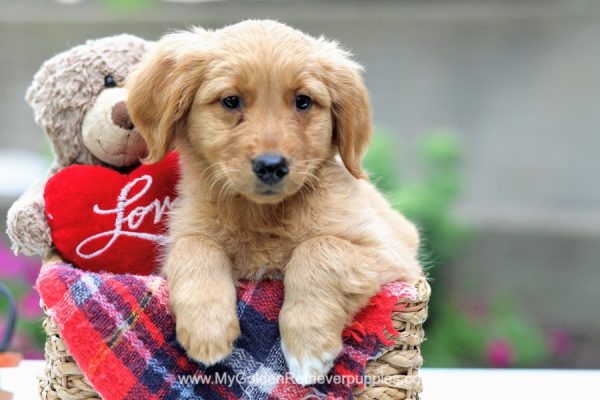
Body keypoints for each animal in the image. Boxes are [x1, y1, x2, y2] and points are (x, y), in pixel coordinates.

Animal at [127, 19, 422, 384]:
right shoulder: (184, 232)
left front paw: (308, 346)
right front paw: (207, 327)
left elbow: (318, 249)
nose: (271, 166)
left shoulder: (392, 254)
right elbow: (194, 246)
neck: (260, 214)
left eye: (303, 101)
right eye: (231, 101)